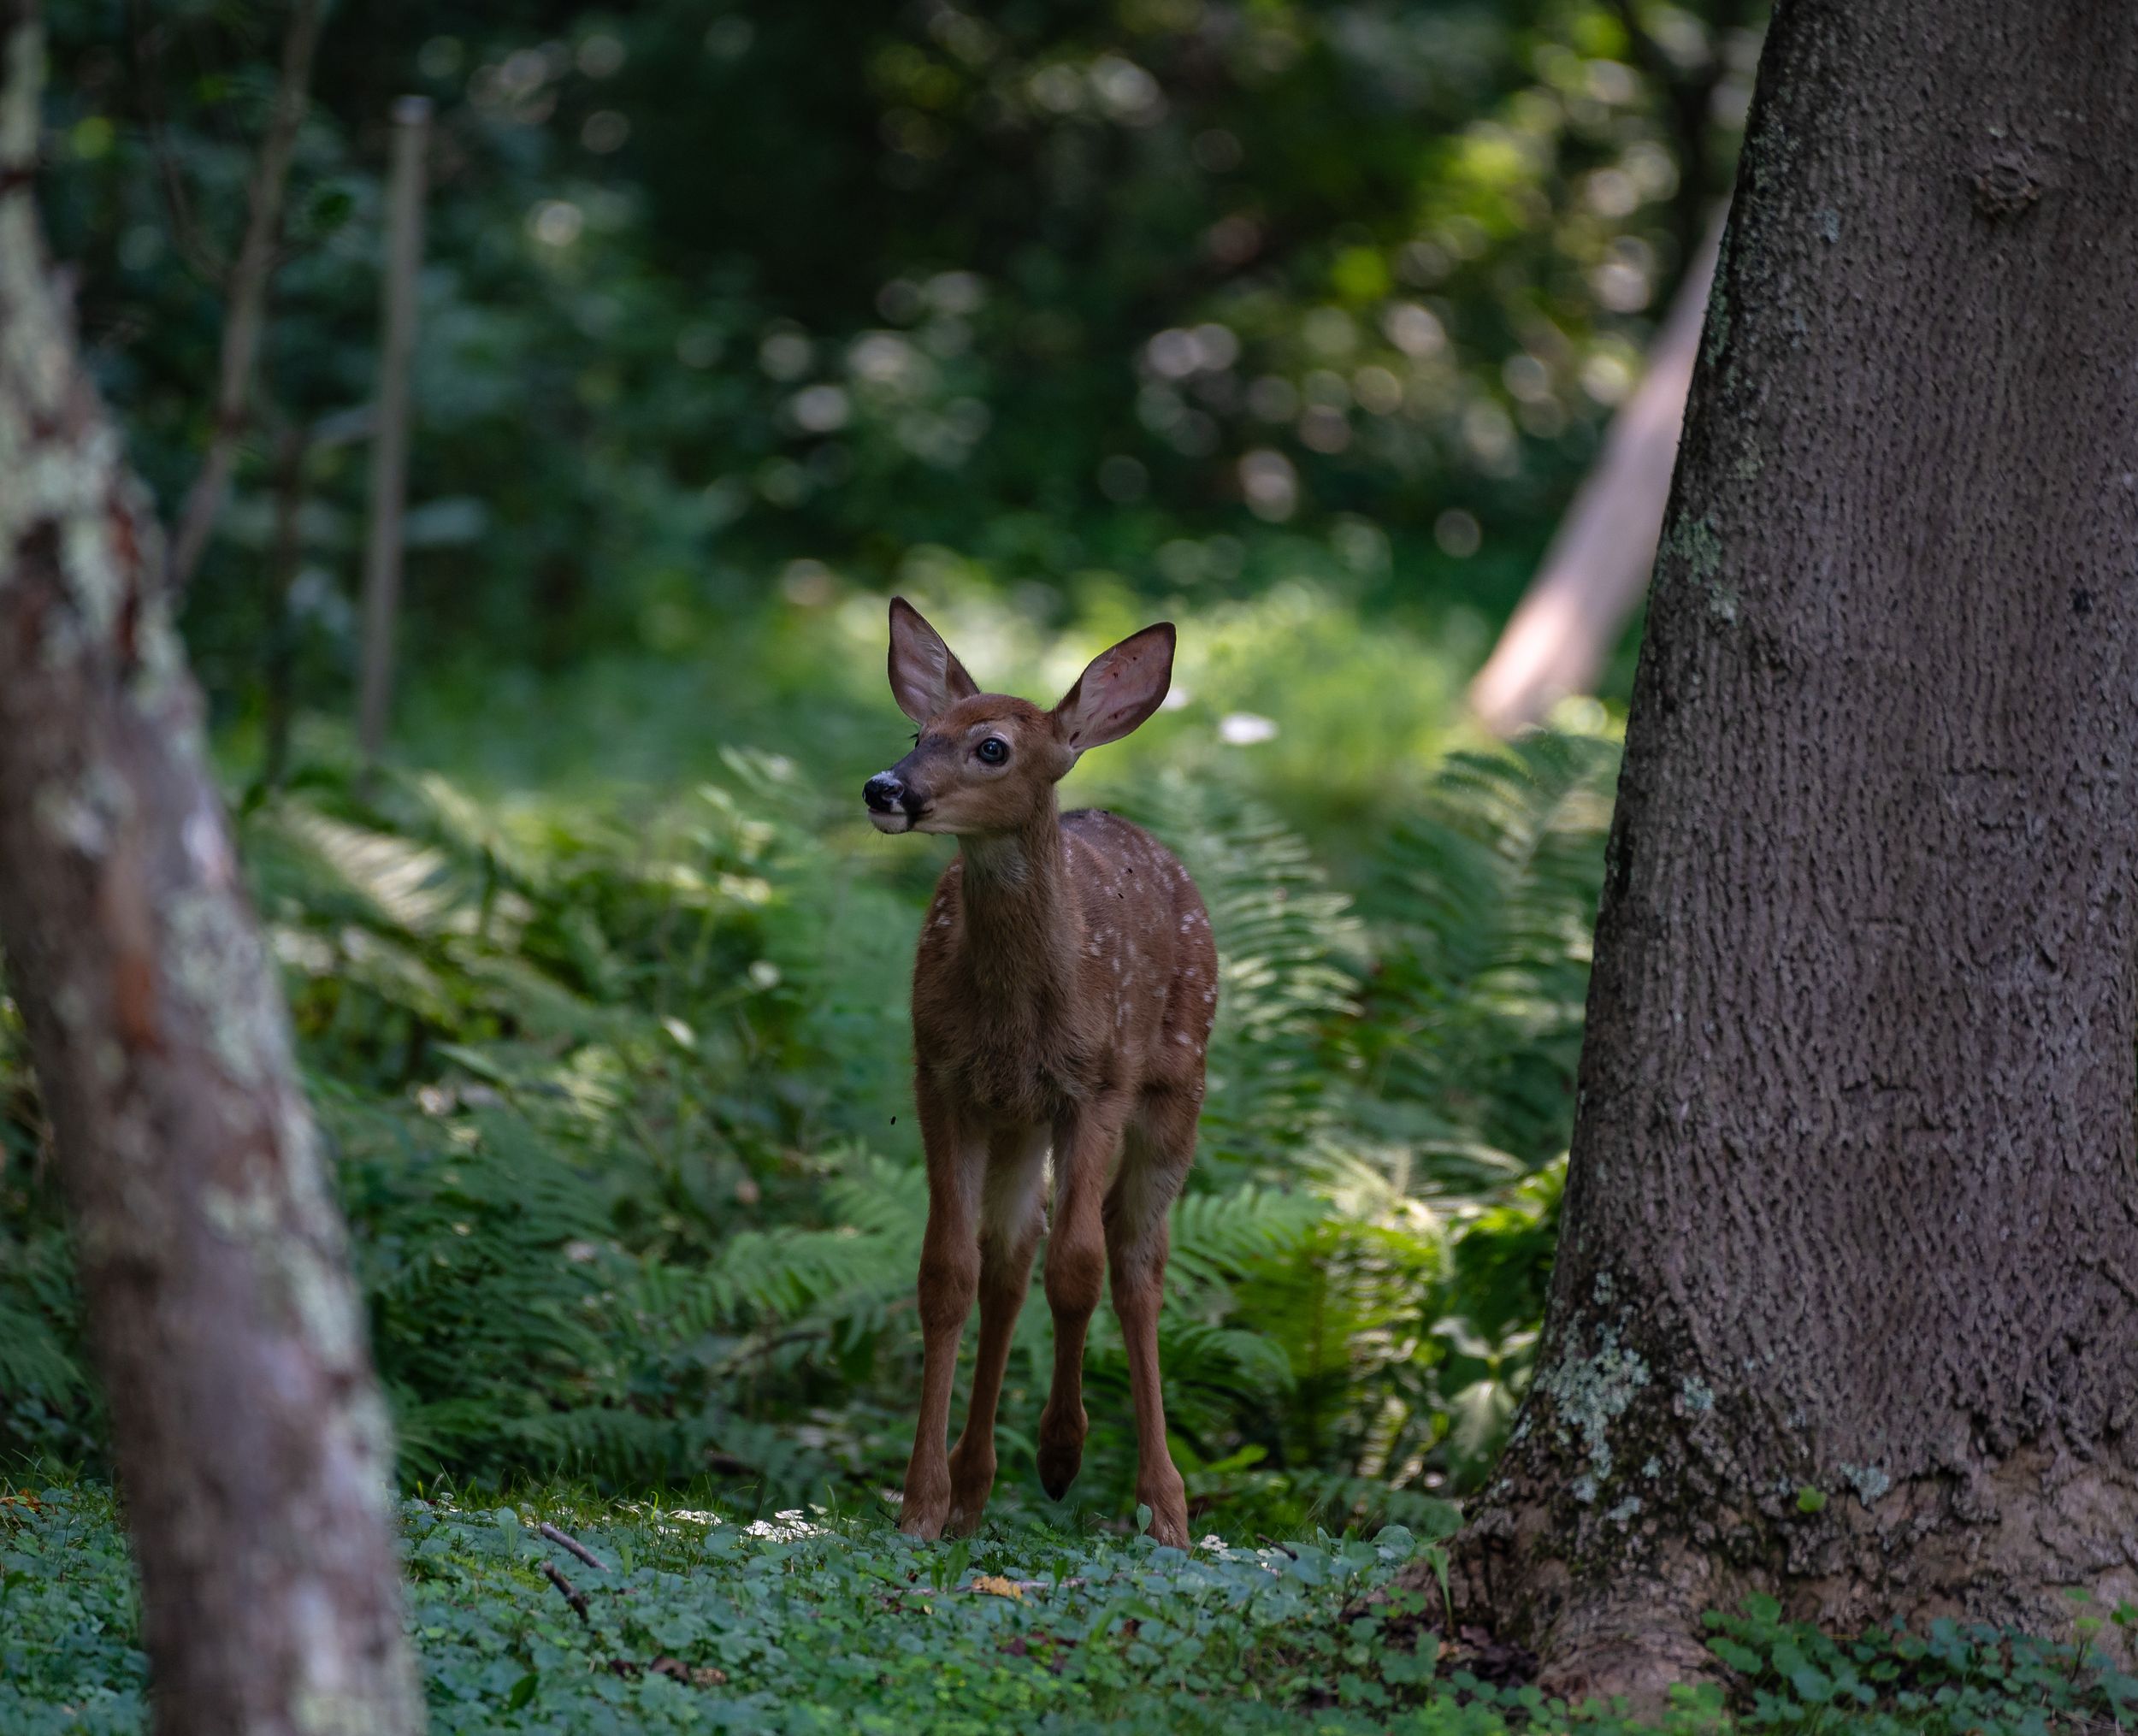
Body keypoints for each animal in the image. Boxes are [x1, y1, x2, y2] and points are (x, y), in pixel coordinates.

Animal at [862, 598, 1217, 1548]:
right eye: (919, 731)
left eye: (992, 747)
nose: (884, 788)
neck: (1018, 1011)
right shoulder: (940, 1075)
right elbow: (947, 1273)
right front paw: (922, 1501)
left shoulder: (1095, 1083)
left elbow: (1080, 1266)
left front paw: (1065, 1452)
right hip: (1016, 1118)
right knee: (1010, 1259)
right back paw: (975, 1481)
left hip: (1176, 1084)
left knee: (1133, 1261)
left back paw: (1161, 1499)